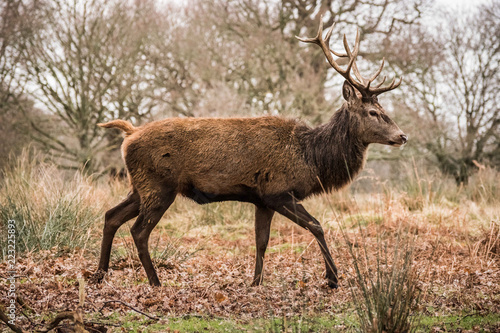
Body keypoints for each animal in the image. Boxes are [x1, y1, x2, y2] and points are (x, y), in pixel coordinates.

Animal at [92, 19, 408, 288]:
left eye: (383, 109)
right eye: (373, 112)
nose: (402, 136)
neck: (311, 159)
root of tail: (129, 134)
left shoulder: (262, 200)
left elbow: (261, 241)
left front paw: (255, 282)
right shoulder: (279, 191)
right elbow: (316, 226)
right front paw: (332, 279)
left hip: (139, 186)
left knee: (111, 216)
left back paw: (99, 274)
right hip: (159, 186)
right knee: (138, 231)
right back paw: (155, 281)